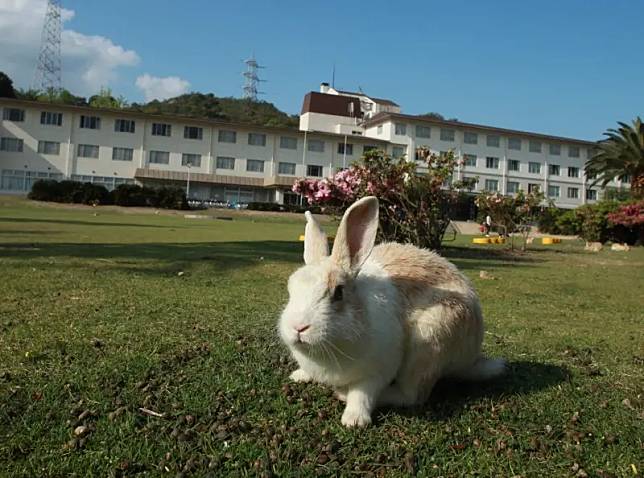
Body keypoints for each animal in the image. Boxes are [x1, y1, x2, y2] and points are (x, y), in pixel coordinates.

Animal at [280, 196, 506, 428]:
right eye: (291, 287)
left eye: (339, 292)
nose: (298, 327)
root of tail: (470, 358)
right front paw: (298, 375)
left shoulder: (376, 372)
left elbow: (363, 394)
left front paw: (354, 419)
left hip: (428, 345)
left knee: (412, 395)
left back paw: (347, 394)